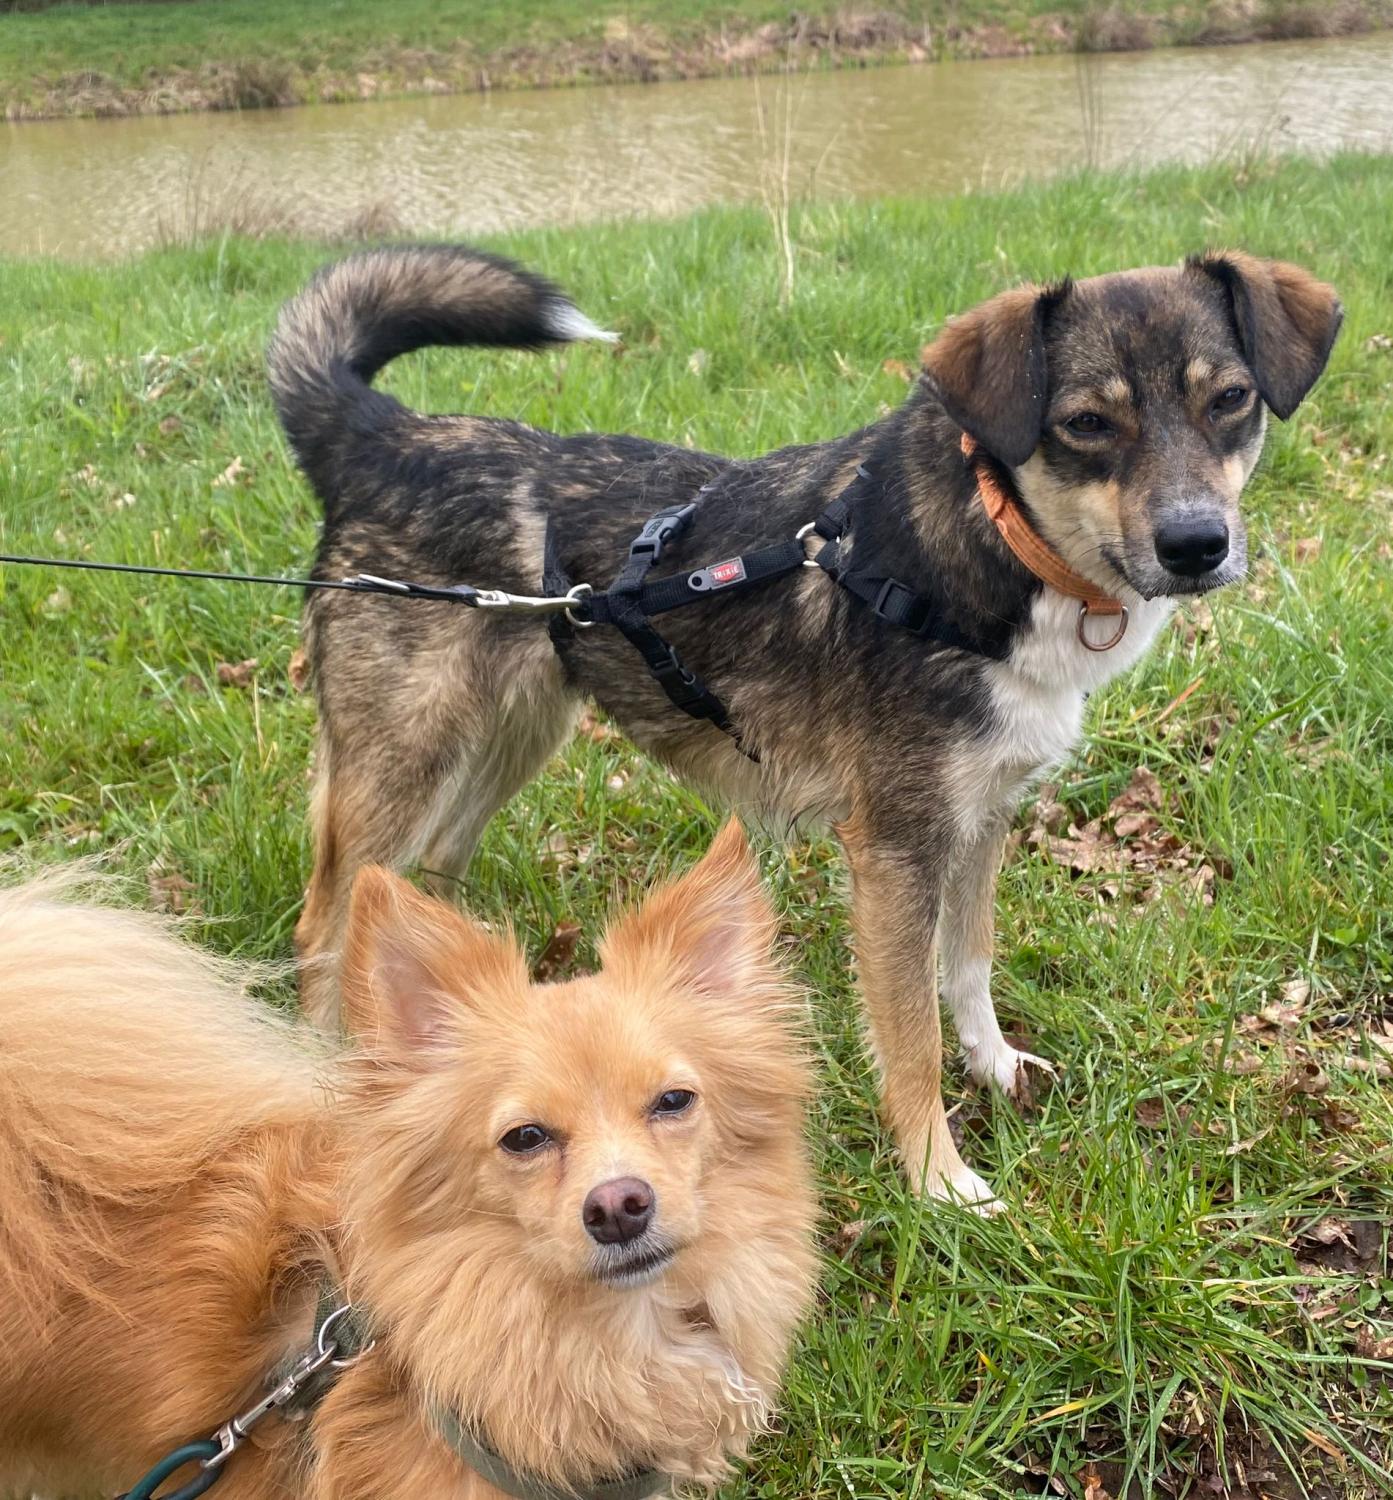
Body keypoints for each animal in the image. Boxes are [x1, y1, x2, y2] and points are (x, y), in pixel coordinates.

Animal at [268, 246, 1341, 1205]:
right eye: (1084, 423)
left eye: (1229, 399)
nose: (1196, 544)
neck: (990, 545)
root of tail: (383, 437)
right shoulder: (894, 848)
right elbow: (908, 1038)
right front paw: (938, 1183)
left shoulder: (981, 816)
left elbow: (970, 963)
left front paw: (993, 1065)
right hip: (400, 754)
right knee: (326, 917)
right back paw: (327, 1076)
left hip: (513, 734)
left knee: (435, 863)